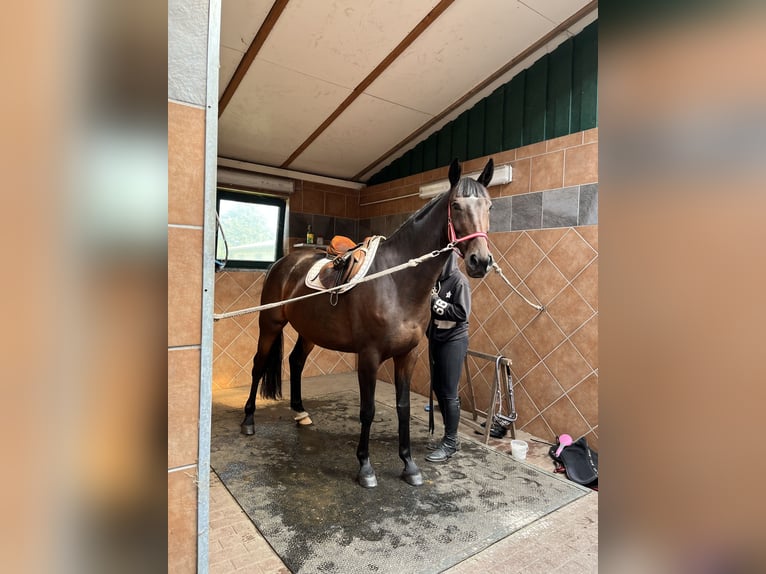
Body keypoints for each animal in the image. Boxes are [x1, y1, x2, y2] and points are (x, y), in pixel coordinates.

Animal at [241, 158, 495, 488]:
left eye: (489, 206)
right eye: (456, 205)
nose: (481, 261)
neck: (397, 280)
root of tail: (283, 263)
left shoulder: (408, 355)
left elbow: (403, 408)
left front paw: (409, 465)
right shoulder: (369, 356)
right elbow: (368, 410)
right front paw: (365, 468)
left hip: (310, 331)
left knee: (295, 361)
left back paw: (300, 413)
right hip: (270, 324)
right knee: (258, 365)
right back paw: (248, 420)